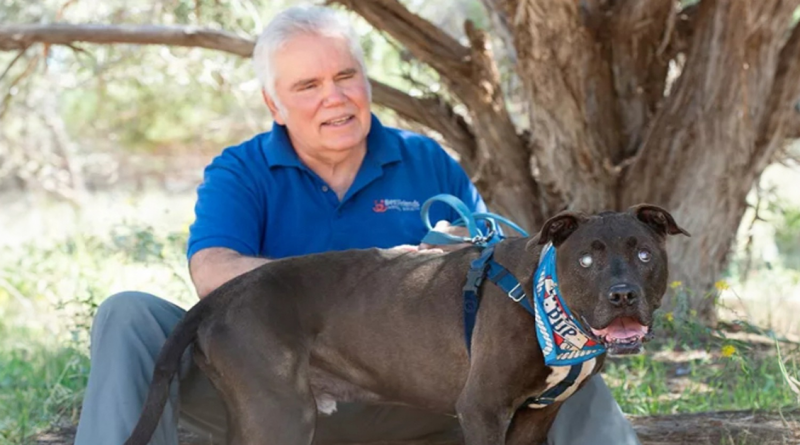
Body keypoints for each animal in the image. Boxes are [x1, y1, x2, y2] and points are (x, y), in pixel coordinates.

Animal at [123, 203, 688, 442]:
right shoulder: (483, 409)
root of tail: (221, 296)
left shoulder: (535, 416)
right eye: (587, 260)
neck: (544, 303)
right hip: (279, 415)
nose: (622, 295)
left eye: (643, 254)